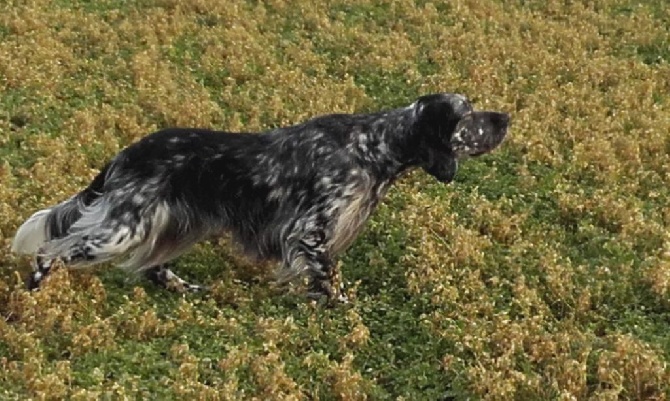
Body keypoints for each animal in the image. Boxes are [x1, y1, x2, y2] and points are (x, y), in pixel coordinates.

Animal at [10, 92, 512, 302]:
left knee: (153, 267)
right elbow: (329, 279)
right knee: (53, 249)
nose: (505, 117)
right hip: (124, 225)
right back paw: (31, 297)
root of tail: (125, 153)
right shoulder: (311, 231)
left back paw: (188, 291)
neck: (375, 146)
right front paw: (345, 315)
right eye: (468, 114)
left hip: (175, 222)